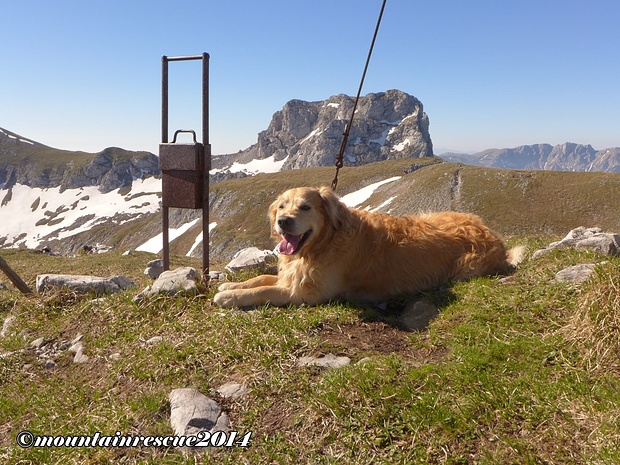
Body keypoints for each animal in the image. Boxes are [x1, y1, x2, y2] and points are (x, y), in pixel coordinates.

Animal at [213, 185, 524, 308]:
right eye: (281, 206)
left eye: (305, 207)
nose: (283, 221)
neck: (325, 242)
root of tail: (495, 239)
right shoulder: (293, 275)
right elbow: (261, 278)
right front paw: (232, 286)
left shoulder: (308, 293)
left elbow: (264, 290)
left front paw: (229, 297)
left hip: (466, 267)